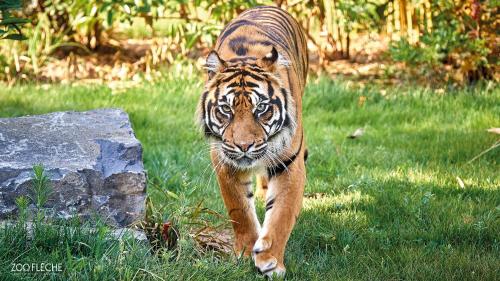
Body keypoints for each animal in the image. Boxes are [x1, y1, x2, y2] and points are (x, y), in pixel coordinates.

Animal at [196, 5, 306, 276]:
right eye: (226, 109)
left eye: (262, 108)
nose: (243, 146)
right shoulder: (225, 160)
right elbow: (239, 211)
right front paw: (246, 251)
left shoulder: (290, 163)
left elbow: (282, 213)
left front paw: (270, 260)